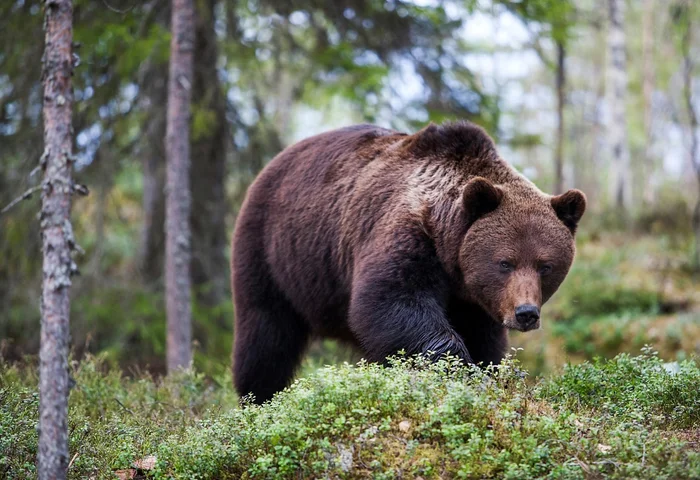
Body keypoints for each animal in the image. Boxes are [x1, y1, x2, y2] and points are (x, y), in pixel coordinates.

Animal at [231, 120, 584, 402]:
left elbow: (485, 339)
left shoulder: (473, 298)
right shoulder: (405, 237)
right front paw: (460, 368)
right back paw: (258, 398)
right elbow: (391, 302)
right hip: (274, 251)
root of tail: (276, 161)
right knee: (266, 334)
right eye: (505, 263)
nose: (526, 313)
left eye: (545, 266)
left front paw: (495, 372)